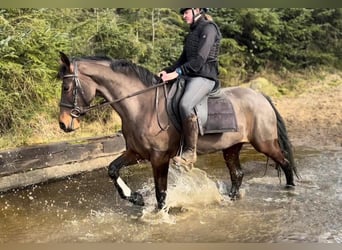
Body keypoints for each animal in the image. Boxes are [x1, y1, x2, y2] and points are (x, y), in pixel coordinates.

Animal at [57, 51, 298, 209]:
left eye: (66, 87)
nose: (63, 123)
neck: (142, 106)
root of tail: (260, 96)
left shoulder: (159, 157)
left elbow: (161, 193)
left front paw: (159, 214)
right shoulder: (136, 153)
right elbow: (112, 169)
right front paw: (135, 197)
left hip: (264, 143)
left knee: (285, 163)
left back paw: (290, 190)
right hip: (231, 147)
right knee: (237, 175)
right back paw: (228, 199)